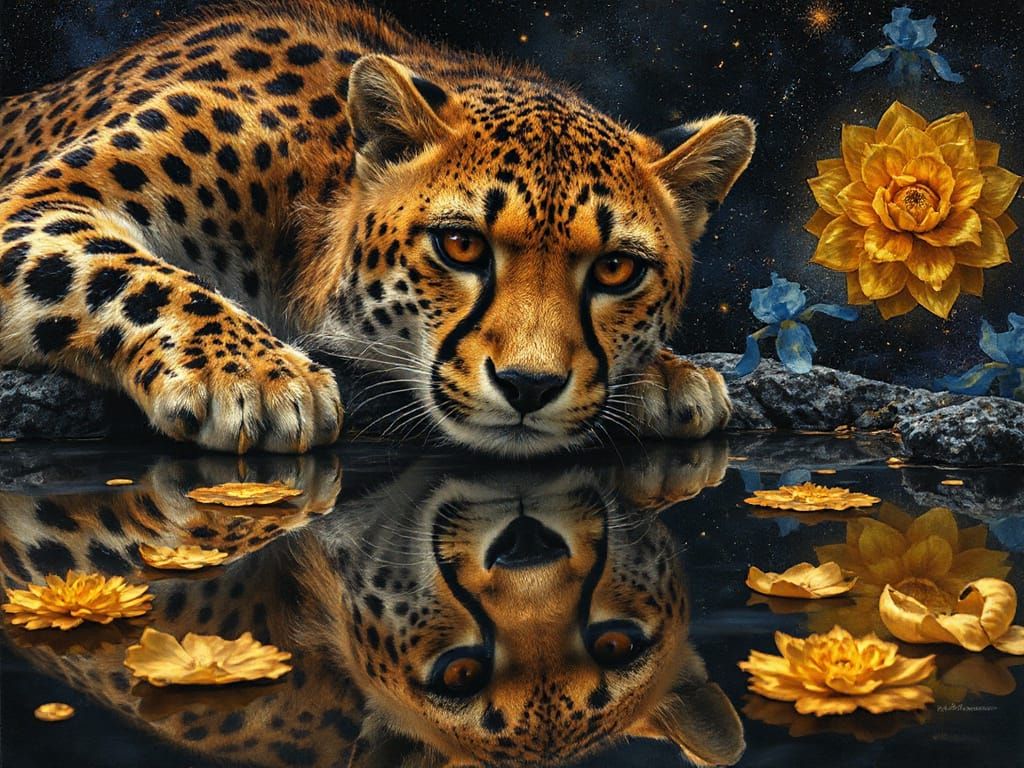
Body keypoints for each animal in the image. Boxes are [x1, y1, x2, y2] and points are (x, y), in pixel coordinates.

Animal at [0, 0, 755, 456]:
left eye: (616, 269)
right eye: (460, 245)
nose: (529, 387)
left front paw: (668, 375)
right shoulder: (40, 204)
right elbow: (139, 275)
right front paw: (259, 378)